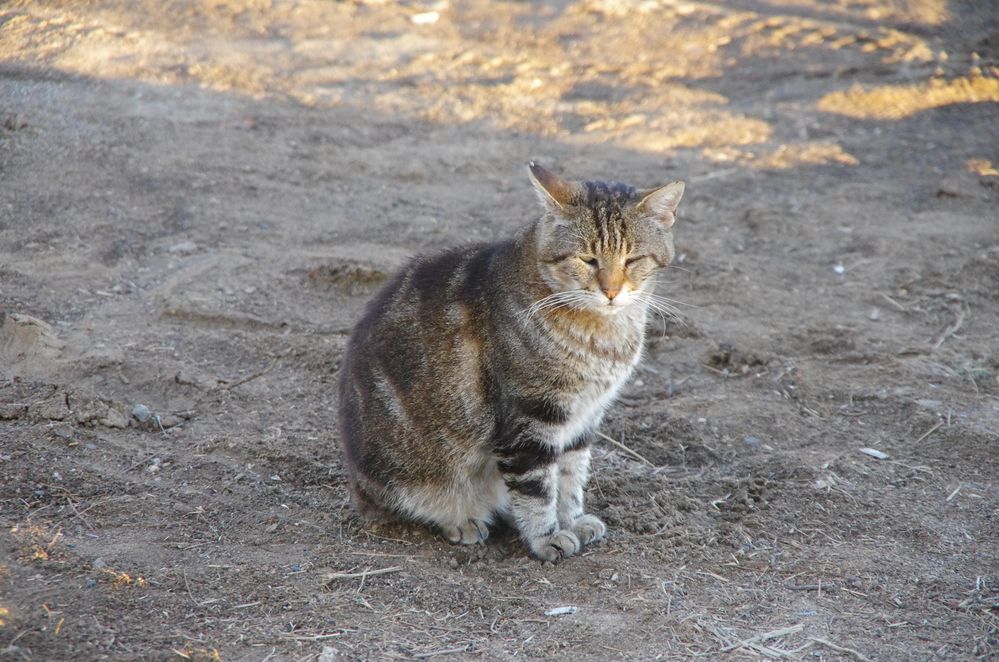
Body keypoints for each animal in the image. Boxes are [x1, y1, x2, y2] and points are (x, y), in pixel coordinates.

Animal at [340, 163, 684, 564]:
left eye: (632, 259)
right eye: (587, 259)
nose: (611, 291)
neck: (604, 336)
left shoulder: (584, 418)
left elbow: (570, 479)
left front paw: (573, 520)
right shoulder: (530, 419)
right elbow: (537, 490)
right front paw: (547, 538)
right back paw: (461, 520)